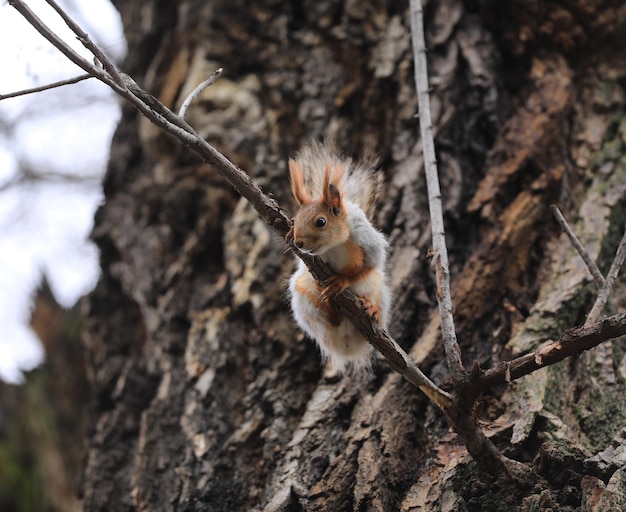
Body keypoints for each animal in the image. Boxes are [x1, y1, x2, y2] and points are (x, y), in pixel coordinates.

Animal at [286, 142, 388, 374]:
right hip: (303, 298)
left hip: (378, 289)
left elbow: (369, 264)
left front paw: (341, 281)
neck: (334, 245)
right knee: (331, 321)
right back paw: (331, 308)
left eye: (321, 221)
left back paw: (371, 309)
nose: (299, 243)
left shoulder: (366, 241)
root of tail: (347, 346)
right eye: (297, 219)